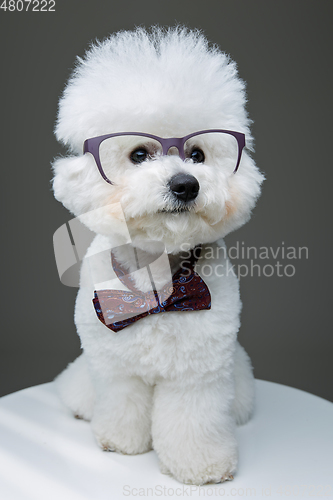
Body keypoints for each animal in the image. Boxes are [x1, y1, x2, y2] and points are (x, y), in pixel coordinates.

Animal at [52, 26, 264, 484]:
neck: (160, 284)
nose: (186, 184)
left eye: (198, 154)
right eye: (138, 154)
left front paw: (201, 465)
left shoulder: (199, 369)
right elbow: (122, 401)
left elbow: (193, 419)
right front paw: (120, 441)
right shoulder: (114, 366)